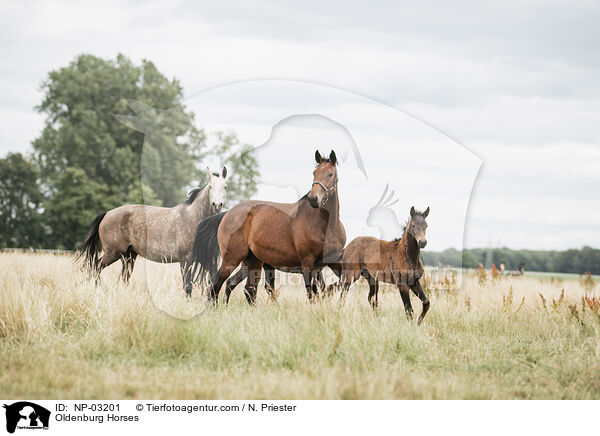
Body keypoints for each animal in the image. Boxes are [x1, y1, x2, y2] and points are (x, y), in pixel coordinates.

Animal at [78, 167, 229, 296]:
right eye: (210, 187)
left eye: (225, 186)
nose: (217, 205)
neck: (194, 218)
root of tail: (107, 214)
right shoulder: (186, 260)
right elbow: (187, 286)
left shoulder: (207, 260)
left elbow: (214, 282)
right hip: (113, 253)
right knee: (95, 267)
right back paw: (96, 289)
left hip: (129, 256)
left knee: (122, 278)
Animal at [190, 150, 344, 304]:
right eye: (314, 173)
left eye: (330, 174)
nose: (313, 199)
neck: (324, 225)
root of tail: (227, 213)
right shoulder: (308, 264)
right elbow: (312, 293)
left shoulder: (331, 261)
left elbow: (337, 282)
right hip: (232, 259)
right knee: (217, 284)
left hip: (252, 262)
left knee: (242, 287)